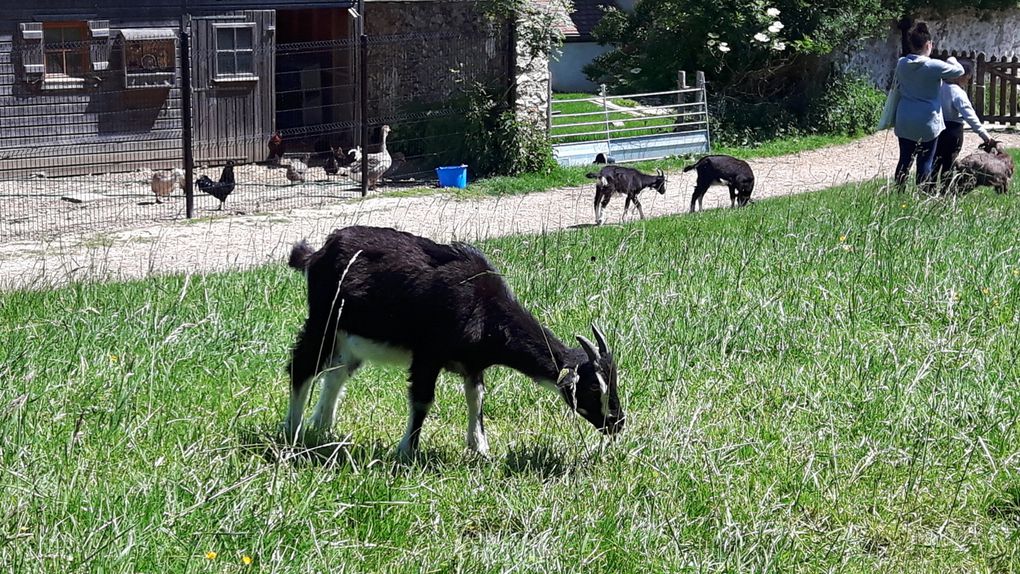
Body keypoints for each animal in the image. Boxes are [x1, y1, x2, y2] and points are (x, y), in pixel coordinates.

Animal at [283, 224, 624, 458]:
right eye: (593, 388)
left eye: (614, 381)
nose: (617, 423)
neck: (482, 307)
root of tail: (318, 253)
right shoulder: (427, 355)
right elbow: (422, 400)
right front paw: (406, 451)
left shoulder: (474, 364)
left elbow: (477, 398)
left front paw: (480, 448)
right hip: (324, 323)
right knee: (301, 366)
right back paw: (293, 430)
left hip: (350, 338)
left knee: (336, 373)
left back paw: (323, 428)